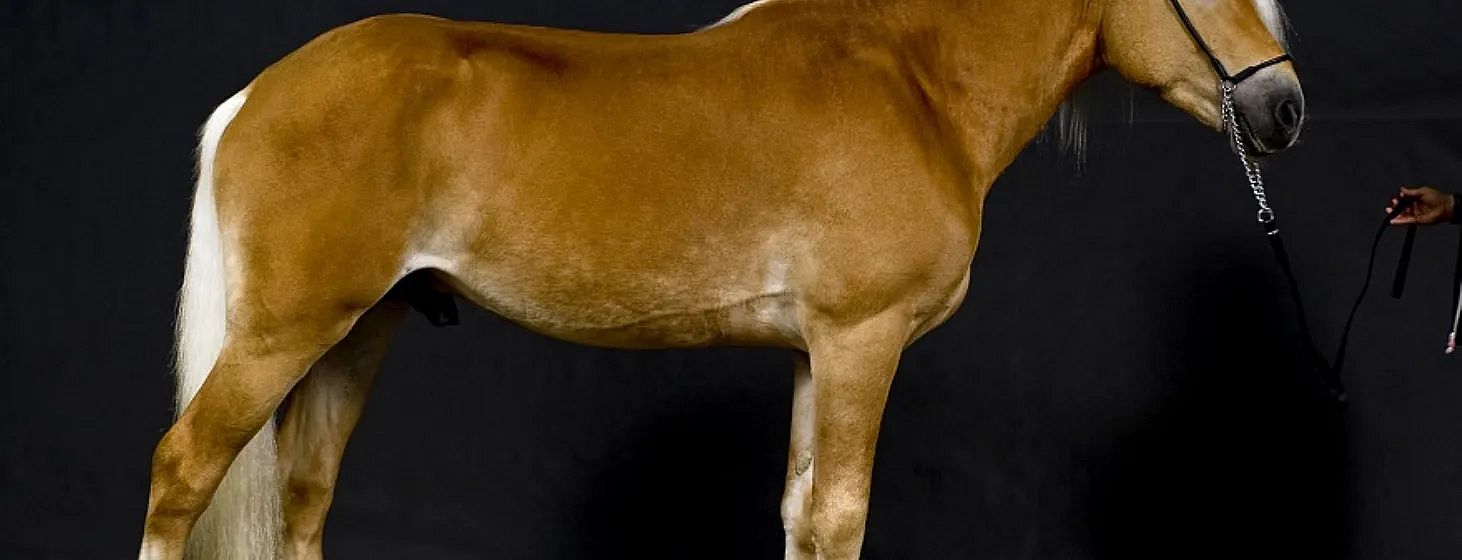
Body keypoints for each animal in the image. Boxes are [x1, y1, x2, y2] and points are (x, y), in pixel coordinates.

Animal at [138, 0, 1302, 558]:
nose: (1283, 106)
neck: (911, 79)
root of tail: (256, 94)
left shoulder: (816, 355)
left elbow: (799, 514)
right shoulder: (861, 341)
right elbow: (840, 516)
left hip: (356, 334)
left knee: (303, 499)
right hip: (284, 334)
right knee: (183, 470)